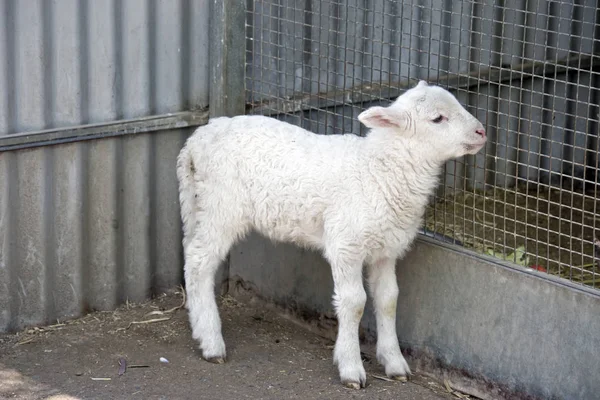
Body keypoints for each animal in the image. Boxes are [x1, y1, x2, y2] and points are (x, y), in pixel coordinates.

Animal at [176, 79, 486, 390]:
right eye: (438, 119)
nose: (482, 132)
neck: (378, 171)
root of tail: (198, 139)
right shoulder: (346, 245)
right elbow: (355, 302)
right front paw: (350, 366)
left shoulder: (385, 249)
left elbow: (388, 300)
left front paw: (394, 362)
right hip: (221, 207)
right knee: (198, 262)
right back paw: (211, 342)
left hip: (198, 203)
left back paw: (197, 323)